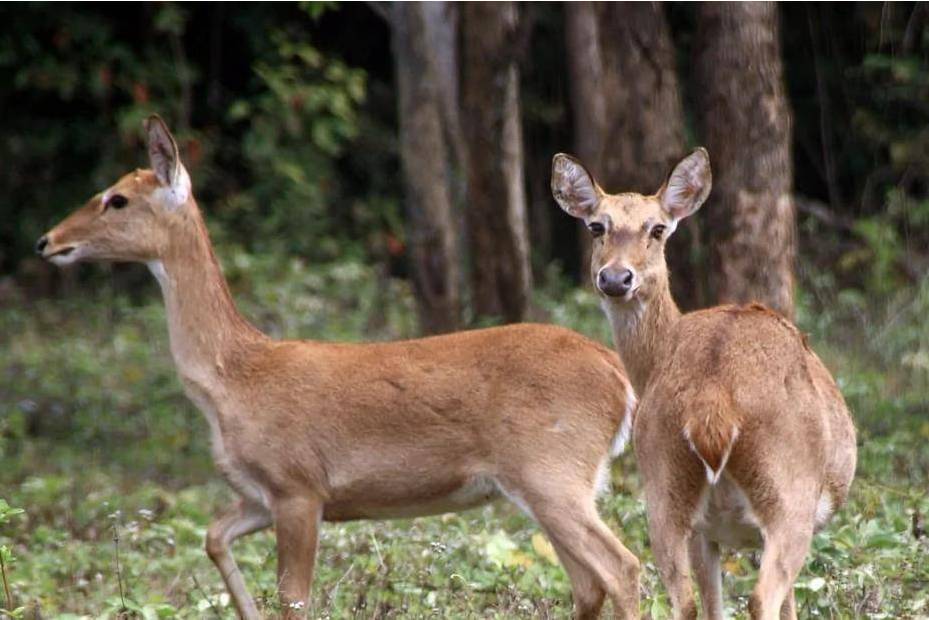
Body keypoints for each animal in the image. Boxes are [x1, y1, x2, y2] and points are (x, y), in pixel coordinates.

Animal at [37, 115, 642, 620]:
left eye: (116, 199)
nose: (47, 240)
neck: (234, 378)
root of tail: (620, 378)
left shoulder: (299, 486)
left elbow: (293, 601)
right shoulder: (258, 495)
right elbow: (213, 538)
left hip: (551, 469)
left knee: (622, 567)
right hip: (555, 481)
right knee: (589, 584)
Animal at [551, 149, 857, 620]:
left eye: (657, 228)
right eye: (596, 226)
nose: (616, 278)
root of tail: (712, 405)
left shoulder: (705, 531)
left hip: (663, 486)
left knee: (686, 600)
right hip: (789, 492)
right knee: (762, 596)